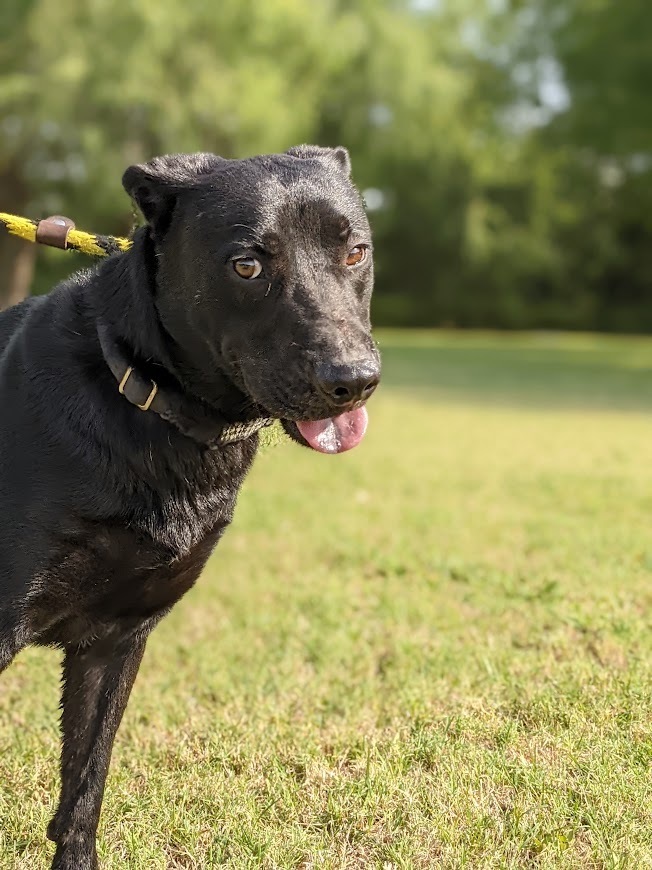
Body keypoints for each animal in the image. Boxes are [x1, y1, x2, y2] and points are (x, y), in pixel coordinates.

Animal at [0, 146, 380, 868]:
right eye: (247, 265)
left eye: (355, 252)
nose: (352, 380)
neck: (141, 396)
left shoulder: (115, 640)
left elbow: (84, 788)